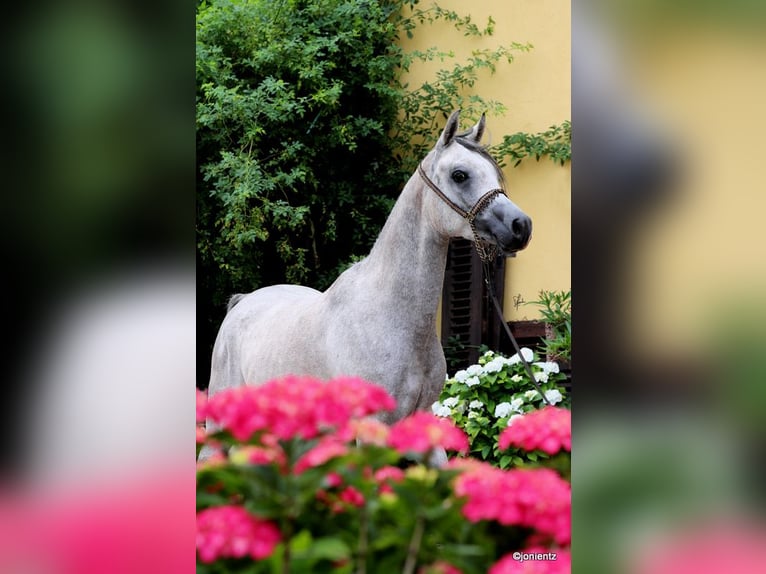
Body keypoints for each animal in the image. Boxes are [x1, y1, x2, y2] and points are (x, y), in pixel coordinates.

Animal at [202, 110, 532, 462]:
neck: (393, 315)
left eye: (494, 172)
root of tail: (242, 302)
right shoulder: (372, 430)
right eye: (460, 174)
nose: (521, 226)